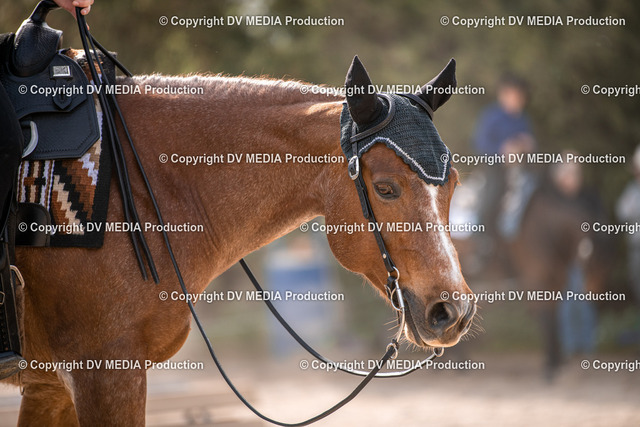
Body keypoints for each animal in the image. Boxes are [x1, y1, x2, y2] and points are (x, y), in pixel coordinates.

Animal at [3, 55, 476, 425]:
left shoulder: (51, 385)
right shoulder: (104, 374)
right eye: (385, 188)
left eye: (452, 183)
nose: (452, 311)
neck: (136, 183)